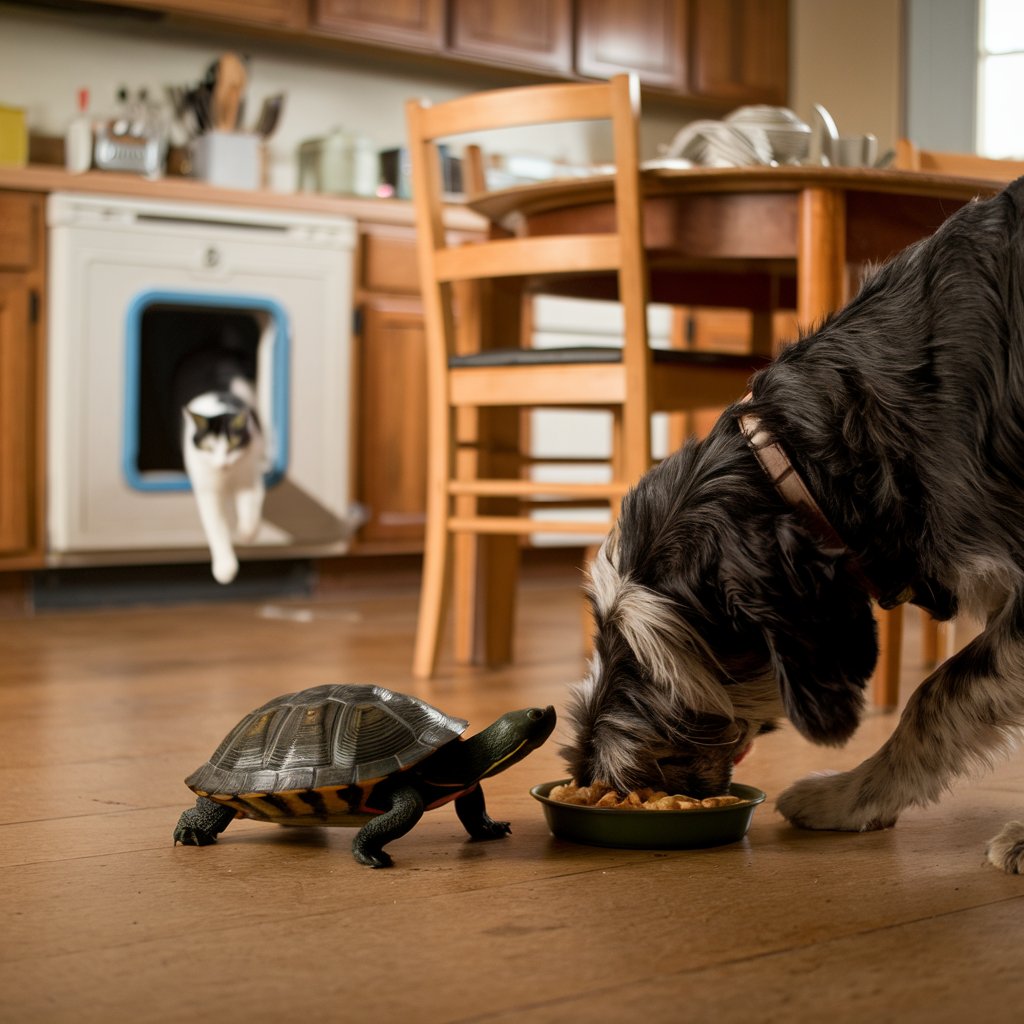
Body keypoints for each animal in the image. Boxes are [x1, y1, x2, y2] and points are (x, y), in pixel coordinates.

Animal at [174, 348, 266, 585]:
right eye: (208, 447)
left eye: (234, 445)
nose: (223, 464)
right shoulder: (207, 486)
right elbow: (216, 525)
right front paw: (225, 568)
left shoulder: (248, 472)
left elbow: (249, 508)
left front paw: (246, 534)